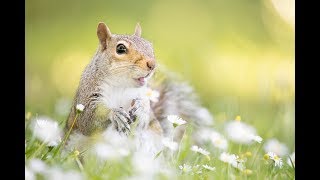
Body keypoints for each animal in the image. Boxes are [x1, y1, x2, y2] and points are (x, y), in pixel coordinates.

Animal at [65, 22, 212, 143]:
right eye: (120, 49)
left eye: (150, 46)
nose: (153, 64)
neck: (121, 85)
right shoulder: (88, 94)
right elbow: (88, 119)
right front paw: (115, 114)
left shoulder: (142, 95)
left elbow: (145, 118)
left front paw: (142, 109)